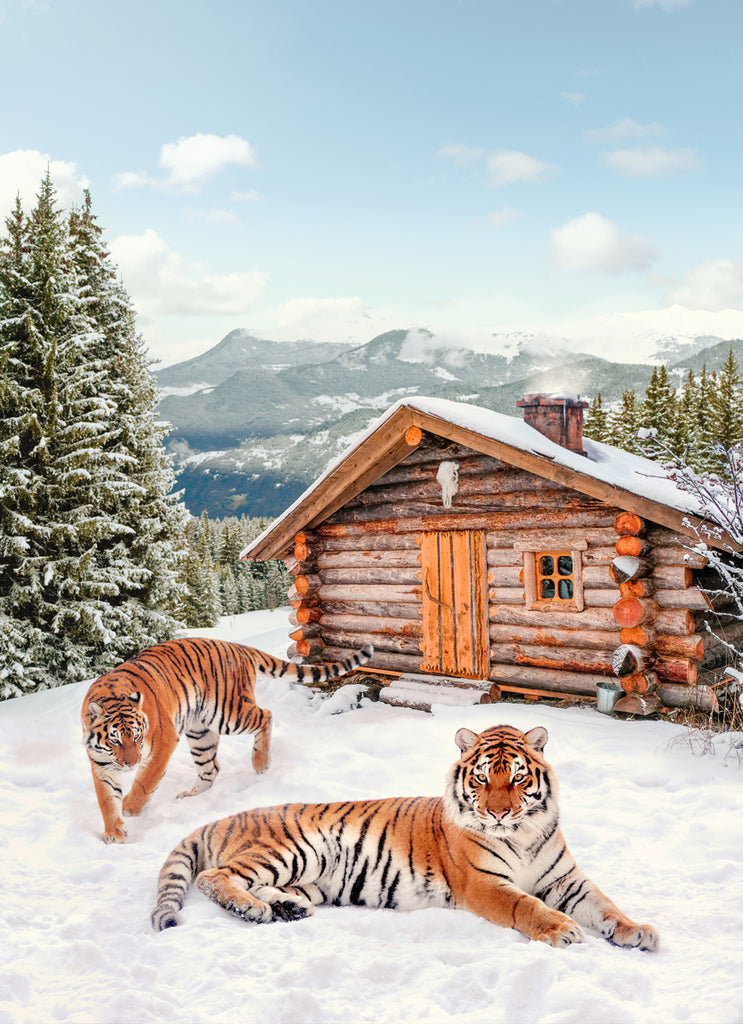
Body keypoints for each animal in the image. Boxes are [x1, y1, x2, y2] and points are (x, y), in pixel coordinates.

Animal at [81, 637, 373, 844]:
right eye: (115, 740)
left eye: (138, 736)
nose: (130, 764)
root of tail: (238, 647)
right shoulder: (101, 763)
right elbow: (106, 799)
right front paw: (114, 832)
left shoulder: (163, 741)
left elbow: (146, 780)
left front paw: (130, 807)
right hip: (200, 731)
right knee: (211, 768)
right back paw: (190, 796)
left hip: (229, 713)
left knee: (266, 715)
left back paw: (261, 763)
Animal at [150, 723, 659, 950]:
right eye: (481, 779)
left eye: (516, 778)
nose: (497, 813)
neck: (523, 833)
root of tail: (226, 817)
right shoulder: (484, 883)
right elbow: (526, 905)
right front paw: (562, 930)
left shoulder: (566, 879)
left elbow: (605, 904)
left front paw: (637, 931)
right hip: (292, 849)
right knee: (214, 878)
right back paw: (254, 910)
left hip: (309, 878)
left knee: (263, 887)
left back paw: (286, 910)